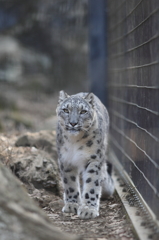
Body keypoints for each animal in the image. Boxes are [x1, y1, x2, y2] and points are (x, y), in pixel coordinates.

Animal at [56, 90, 114, 219]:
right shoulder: (65, 160)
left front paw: (88, 209)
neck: (74, 141)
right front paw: (72, 205)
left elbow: (92, 184)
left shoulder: (93, 159)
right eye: (66, 110)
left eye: (83, 111)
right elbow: (70, 183)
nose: (73, 123)